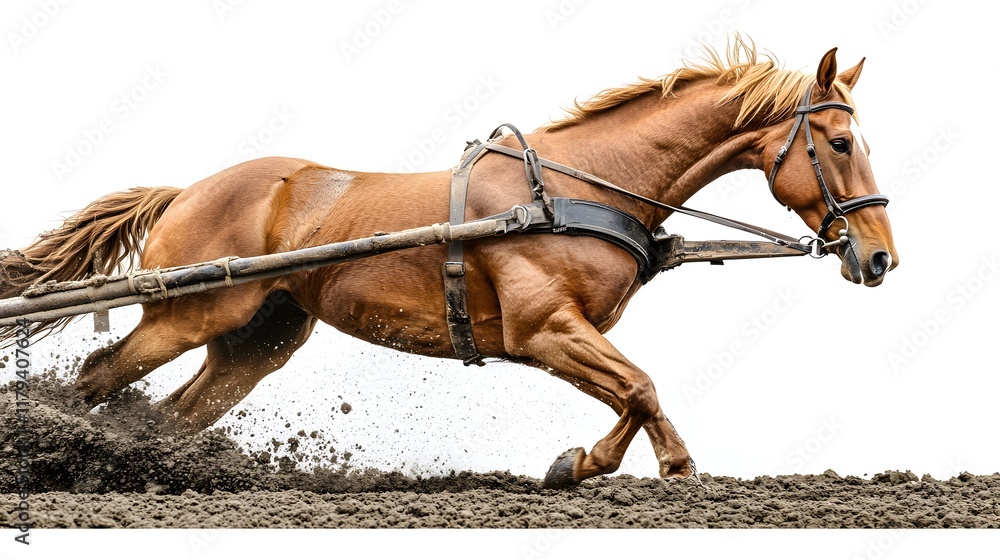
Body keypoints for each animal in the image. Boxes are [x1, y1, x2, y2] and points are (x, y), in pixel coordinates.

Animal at [1, 40, 897, 488]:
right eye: (838, 142)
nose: (881, 255)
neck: (574, 186)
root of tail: (186, 191)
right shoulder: (543, 328)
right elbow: (640, 386)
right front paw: (649, 465)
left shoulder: (561, 333)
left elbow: (631, 393)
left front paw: (586, 464)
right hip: (187, 312)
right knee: (96, 375)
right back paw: (63, 458)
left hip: (260, 338)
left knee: (175, 415)